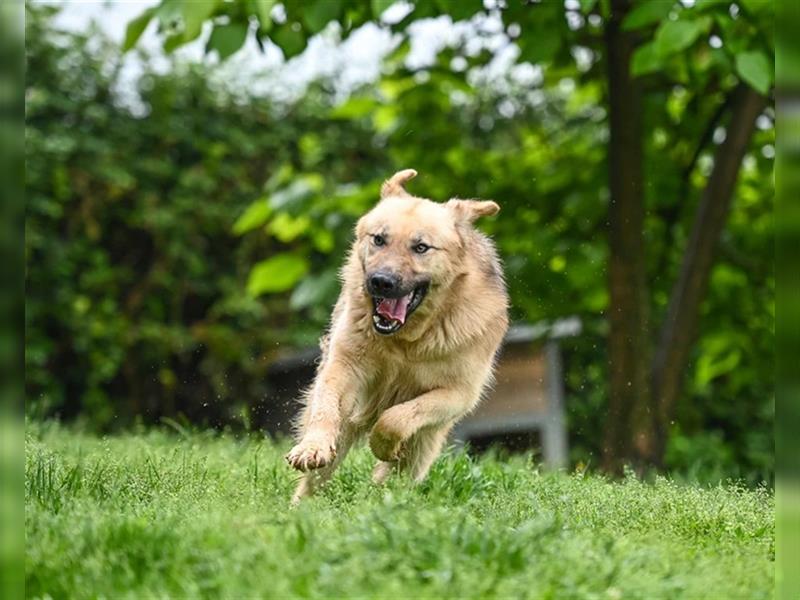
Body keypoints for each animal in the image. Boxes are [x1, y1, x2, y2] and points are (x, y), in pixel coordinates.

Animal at [286, 169, 506, 502]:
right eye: (379, 239)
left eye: (421, 247)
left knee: (399, 475)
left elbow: (395, 418)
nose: (381, 282)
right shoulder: (342, 367)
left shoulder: (458, 393)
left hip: (426, 444)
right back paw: (303, 506)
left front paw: (383, 446)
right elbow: (325, 409)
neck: (406, 342)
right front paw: (313, 447)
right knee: (318, 477)